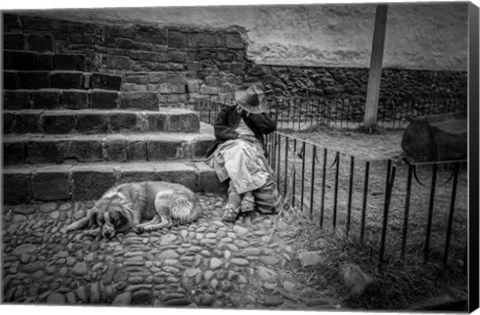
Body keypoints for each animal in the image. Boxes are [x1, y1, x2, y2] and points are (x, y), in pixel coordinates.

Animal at [65, 180, 201, 239]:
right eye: (101, 221)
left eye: (115, 221)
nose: (107, 234)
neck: (117, 196)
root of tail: (196, 202)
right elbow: (87, 217)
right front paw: (73, 225)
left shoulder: (132, 219)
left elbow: (119, 227)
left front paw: (92, 231)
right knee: (158, 218)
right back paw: (143, 227)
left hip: (160, 196)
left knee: (167, 221)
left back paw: (148, 227)